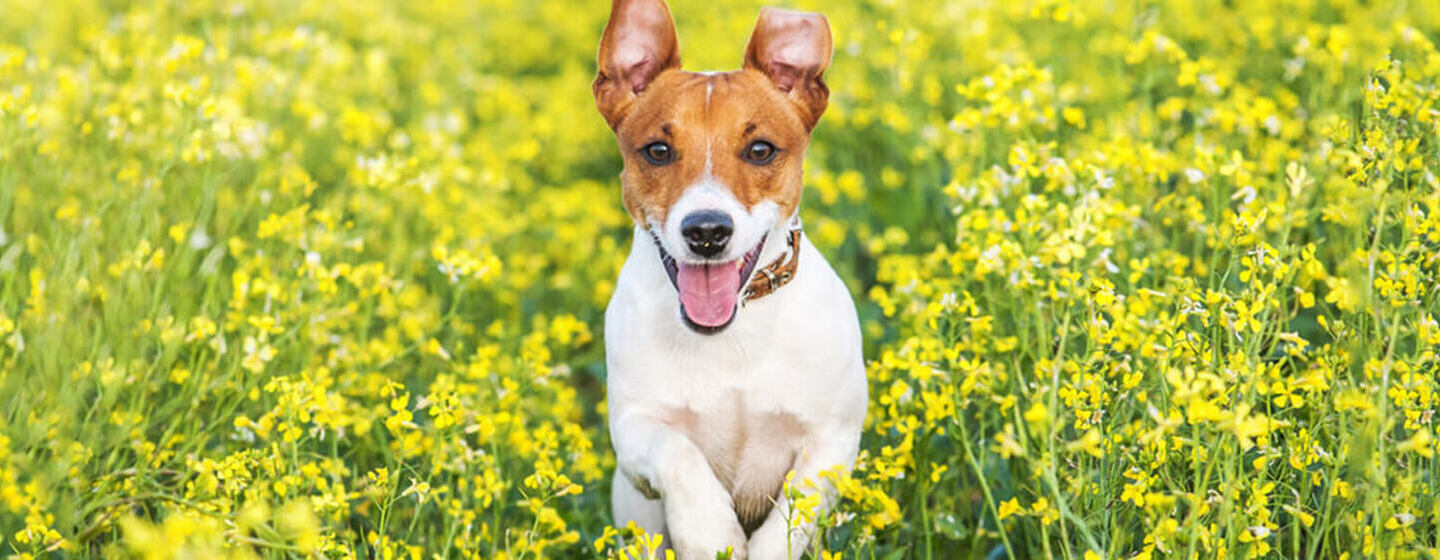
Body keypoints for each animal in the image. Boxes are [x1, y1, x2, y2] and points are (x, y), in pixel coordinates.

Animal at [593, 2, 864, 555]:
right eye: (657, 151)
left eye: (760, 150)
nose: (707, 231)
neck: (731, 336)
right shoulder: (634, 434)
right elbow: (678, 454)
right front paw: (709, 532)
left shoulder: (832, 441)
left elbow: (788, 522)